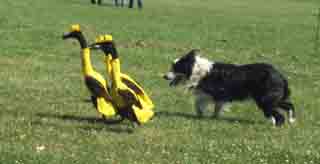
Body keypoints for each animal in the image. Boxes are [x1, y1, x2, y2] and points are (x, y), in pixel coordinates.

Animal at [164, 49, 296, 126]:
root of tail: (279, 75)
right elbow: (215, 106)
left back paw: (275, 124)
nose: (164, 76)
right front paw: (212, 117)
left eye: (175, 68)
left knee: (278, 115)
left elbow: (198, 103)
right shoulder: (217, 96)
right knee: (289, 105)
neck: (197, 69)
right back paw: (291, 120)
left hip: (264, 99)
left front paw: (201, 114)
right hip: (272, 98)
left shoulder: (213, 92)